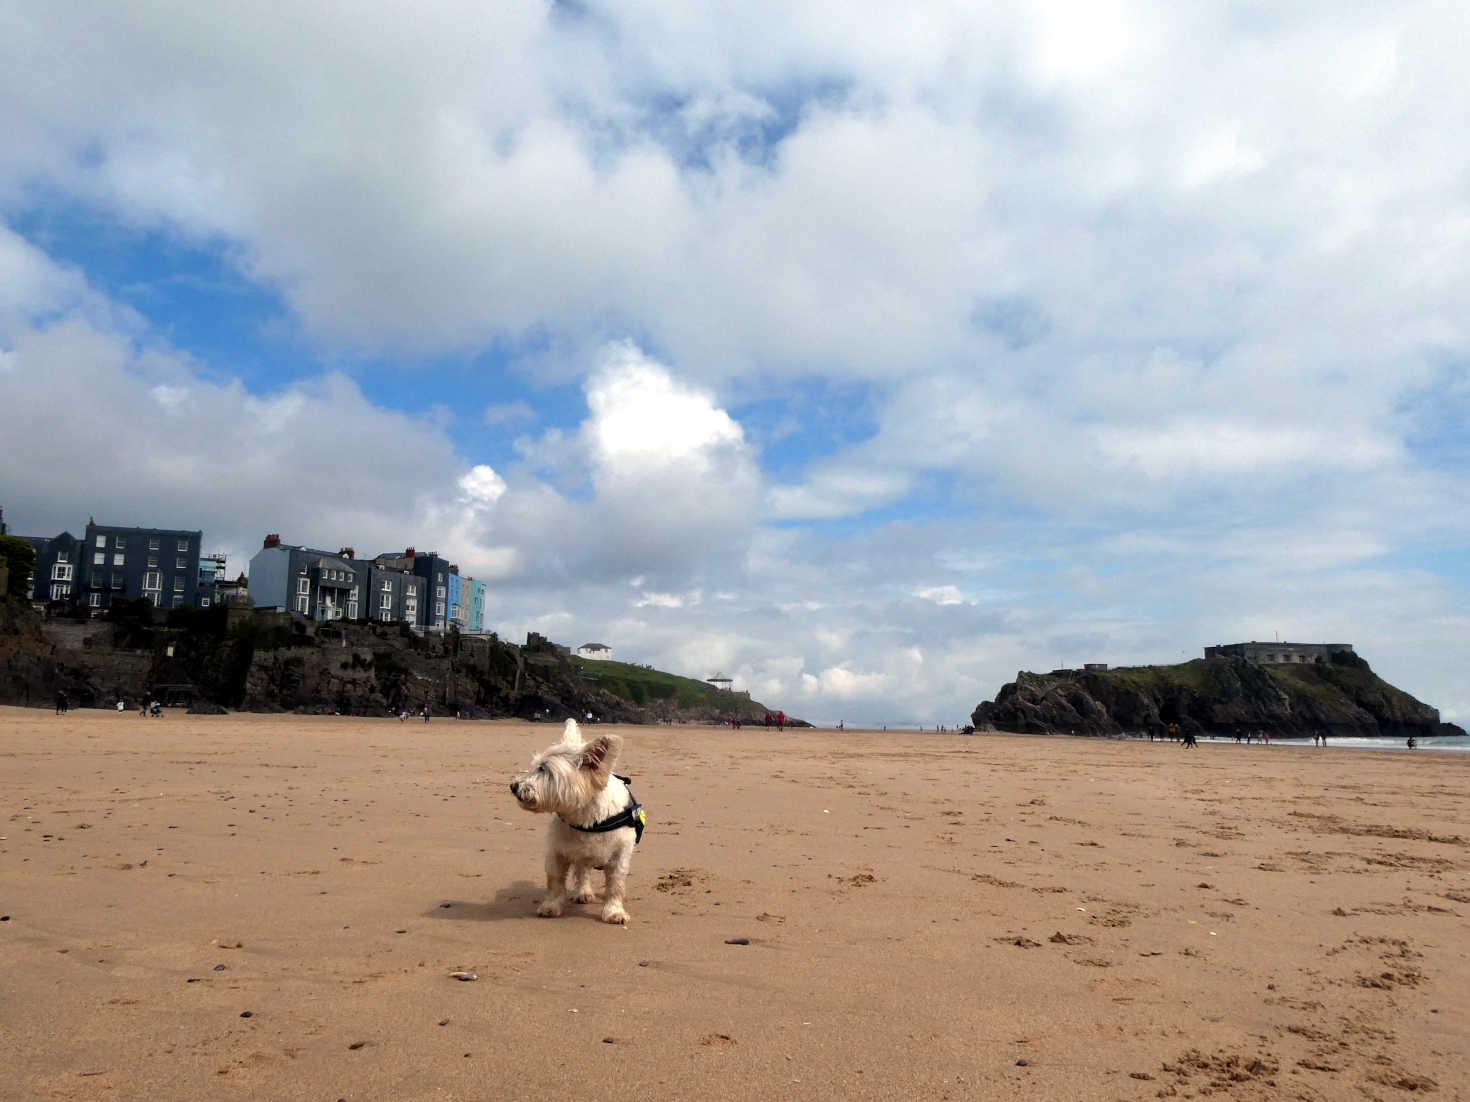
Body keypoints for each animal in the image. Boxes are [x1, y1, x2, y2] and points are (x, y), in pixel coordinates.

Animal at [508, 719, 646, 928]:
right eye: (535, 766)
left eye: (544, 769)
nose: (513, 786)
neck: (585, 818)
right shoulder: (556, 851)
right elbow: (555, 881)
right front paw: (551, 906)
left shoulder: (619, 855)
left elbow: (615, 885)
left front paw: (614, 912)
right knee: (582, 871)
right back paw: (583, 892)